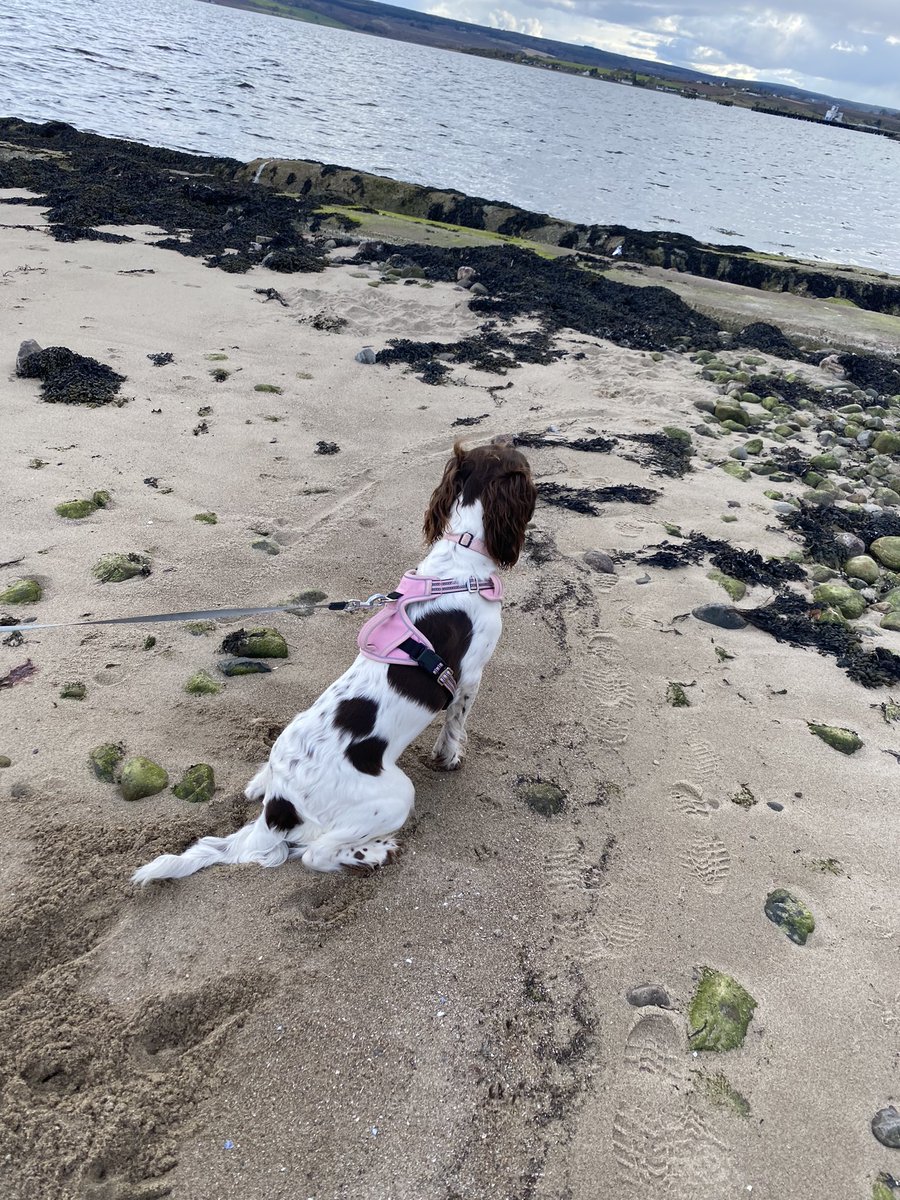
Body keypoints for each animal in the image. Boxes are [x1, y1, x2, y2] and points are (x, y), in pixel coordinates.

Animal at [132, 441, 535, 883]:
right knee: (316, 854)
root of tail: (277, 812)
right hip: (394, 795)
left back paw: (260, 784)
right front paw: (449, 759)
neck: (462, 553)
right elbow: (455, 725)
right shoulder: (470, 677)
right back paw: (375, 853)